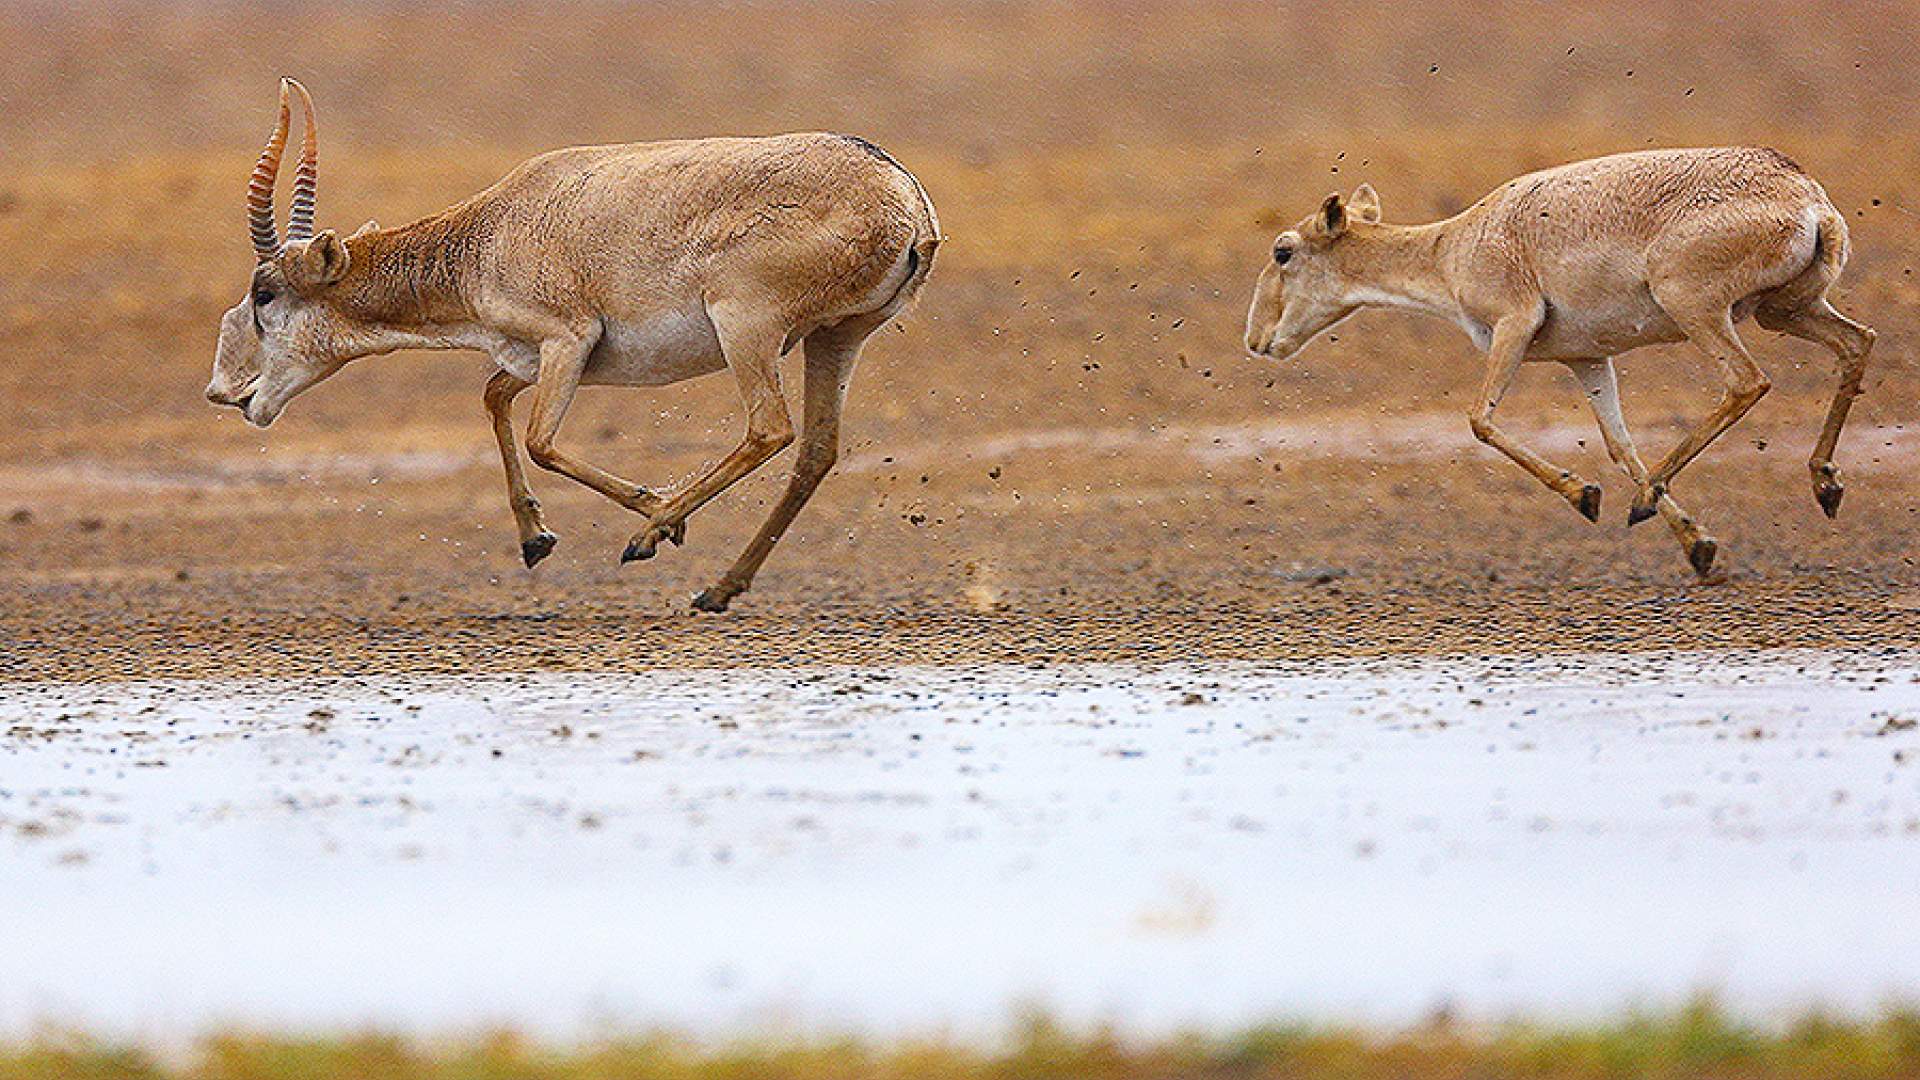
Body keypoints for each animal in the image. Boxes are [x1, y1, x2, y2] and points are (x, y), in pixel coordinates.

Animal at [206, 79, 940, 611]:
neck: (490, 231)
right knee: (816, 450)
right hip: (837, 336)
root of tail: (906, 199)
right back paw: (717, 589)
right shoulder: (537, 357)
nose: (223, 391)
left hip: (748, 329)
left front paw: (657, 521)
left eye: (265, 294)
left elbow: (540, 440)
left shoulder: (567, 340)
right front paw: (537, 540)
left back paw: (651, 537)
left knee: (770, 430)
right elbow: (493, 397)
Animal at [1244, 147, 1873, 576]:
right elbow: (1620, 445)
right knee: (1858, 343)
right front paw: (1697, 543)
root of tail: (1810, 199)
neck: (1451, 250)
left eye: (1283, 251)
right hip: (1785, 309)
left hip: (1699, 307)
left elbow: (1480, 419)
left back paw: (1649, 499)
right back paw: (1825, 484)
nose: (1255, 340)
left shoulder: (1513, 327)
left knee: (1747, 382)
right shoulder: (1587, 359)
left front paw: (1586, 495)